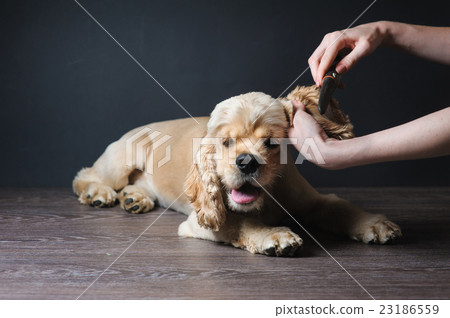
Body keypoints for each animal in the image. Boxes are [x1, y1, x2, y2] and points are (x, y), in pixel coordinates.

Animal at [73, 84, 400, 256]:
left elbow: (339, 206)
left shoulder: (314, 202)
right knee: (85, 175)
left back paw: (135, 199)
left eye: (271, 142)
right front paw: (275, 236)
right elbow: (241, 223)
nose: (246, 162)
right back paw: (98, 194)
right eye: (226, 142)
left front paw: (373, 224)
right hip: (123, 156)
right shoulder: (200, 222)